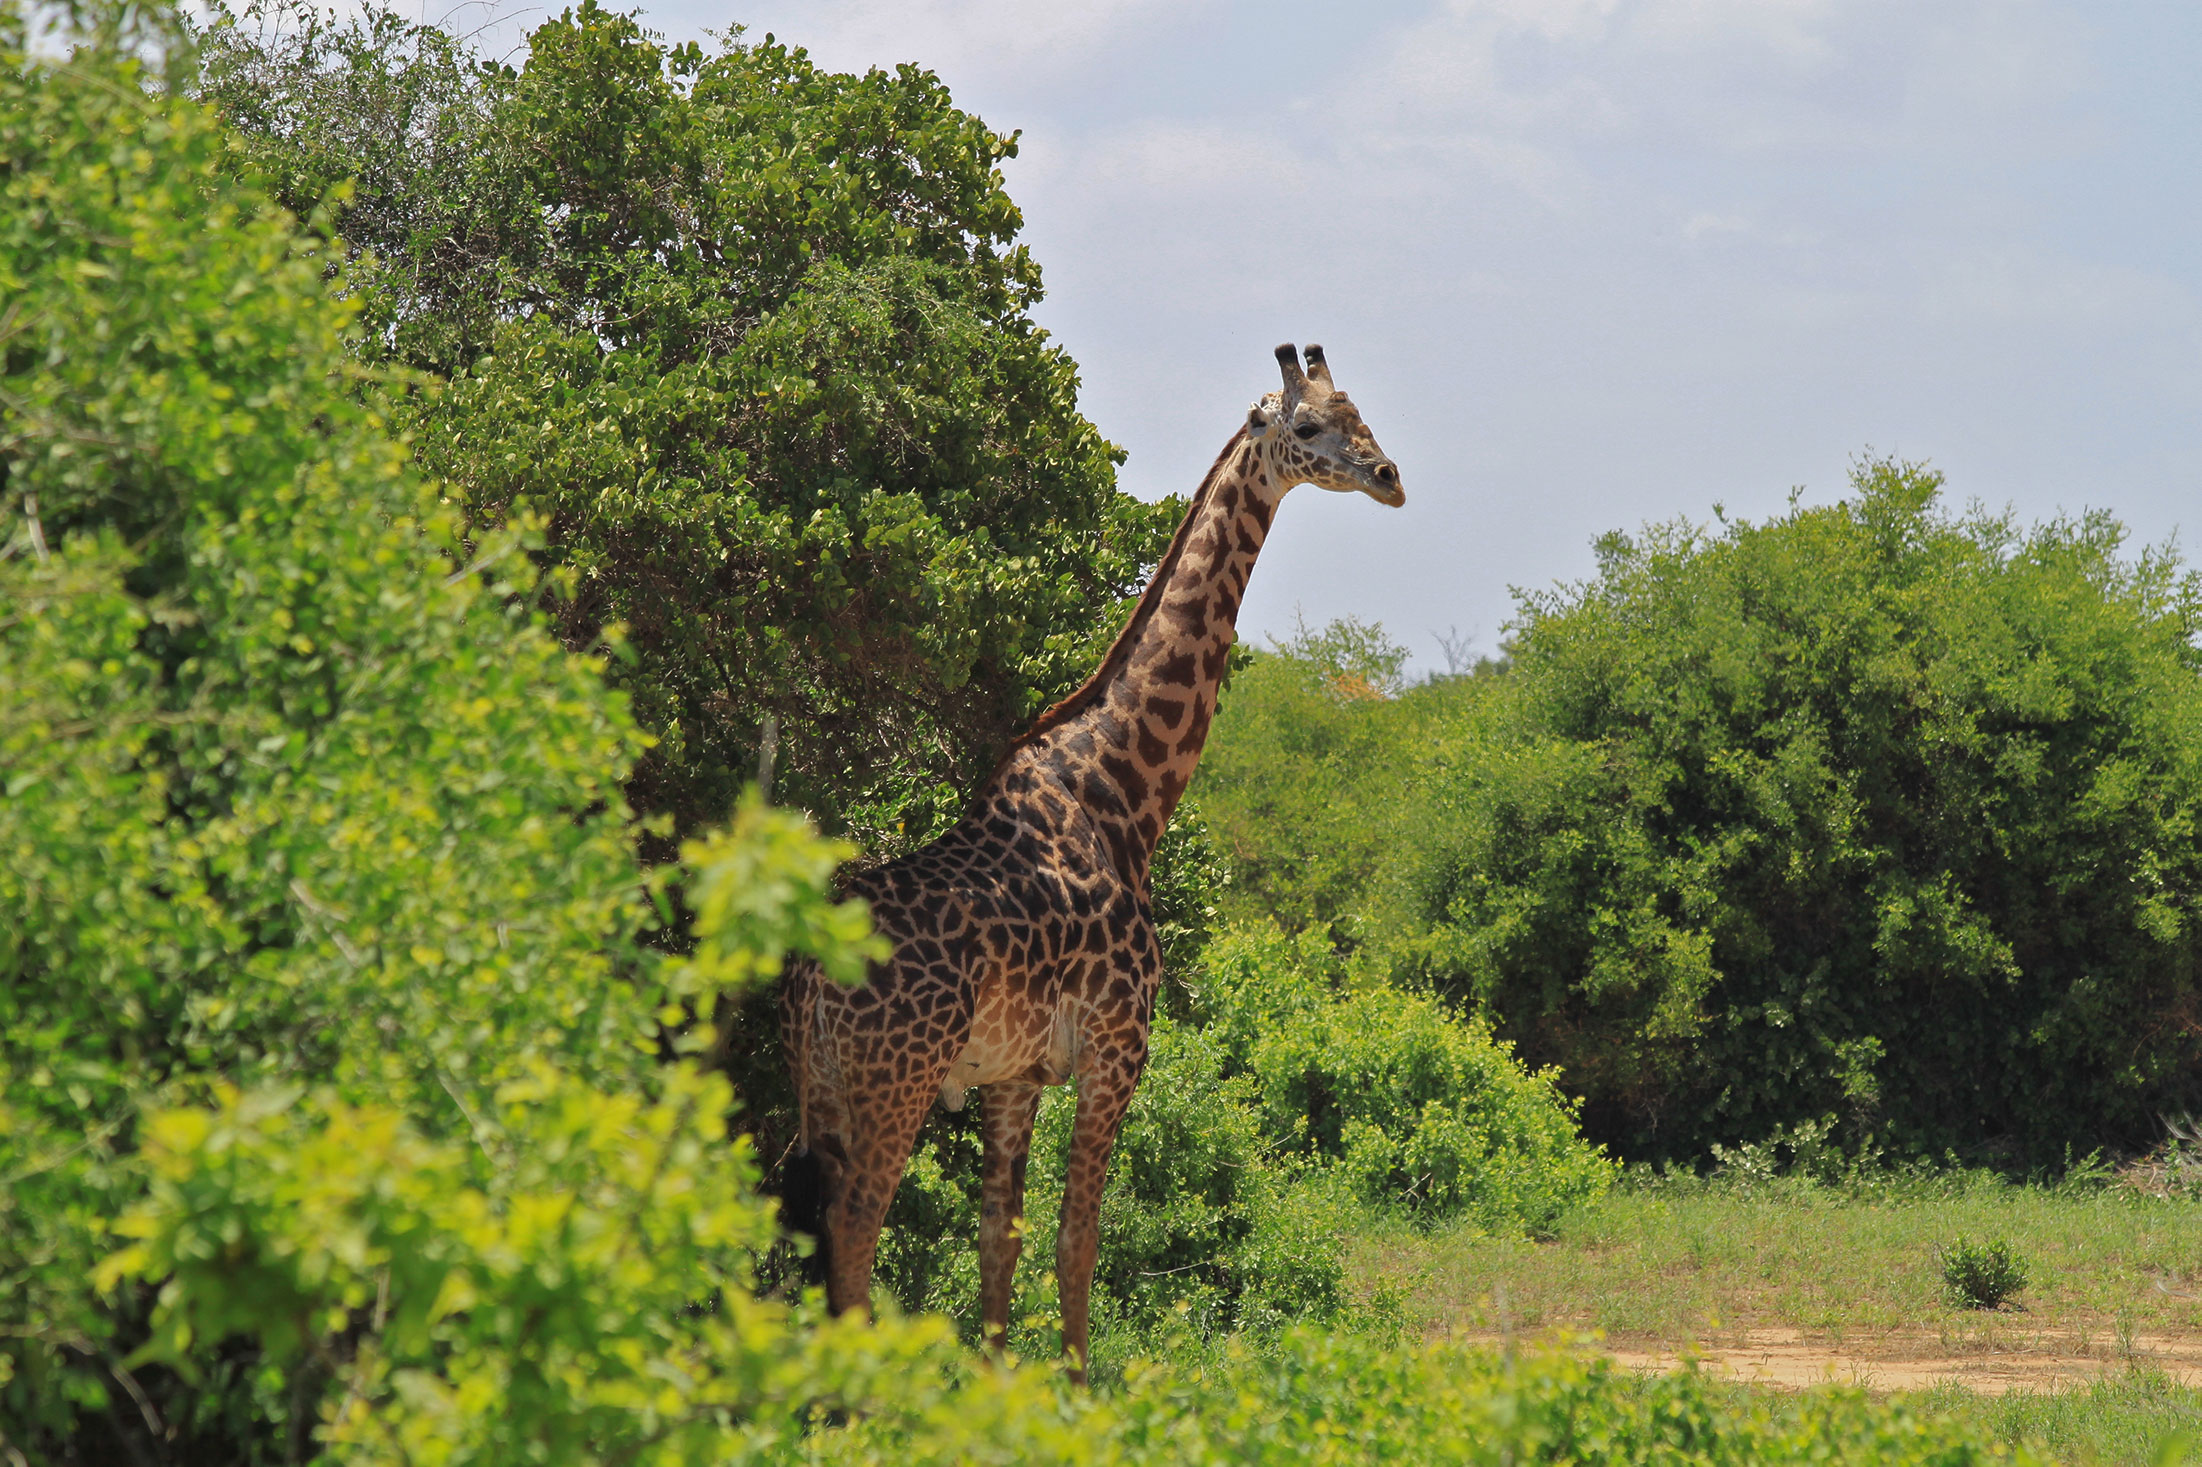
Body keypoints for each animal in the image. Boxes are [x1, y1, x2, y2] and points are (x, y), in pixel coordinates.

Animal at [778, 343, 1404, 1379]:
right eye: (1310, 425)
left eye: (1362, 413)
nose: (1390, 477)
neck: (1121, 794)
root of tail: (811, 981)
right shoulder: (1117, 1049)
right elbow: (1080, 1235)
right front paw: (1077, 1386)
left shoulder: (1013, 1075)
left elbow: (999, 1238)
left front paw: (1002, 1386)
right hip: (893, 1084)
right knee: (856, 1230)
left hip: (820, 1086)